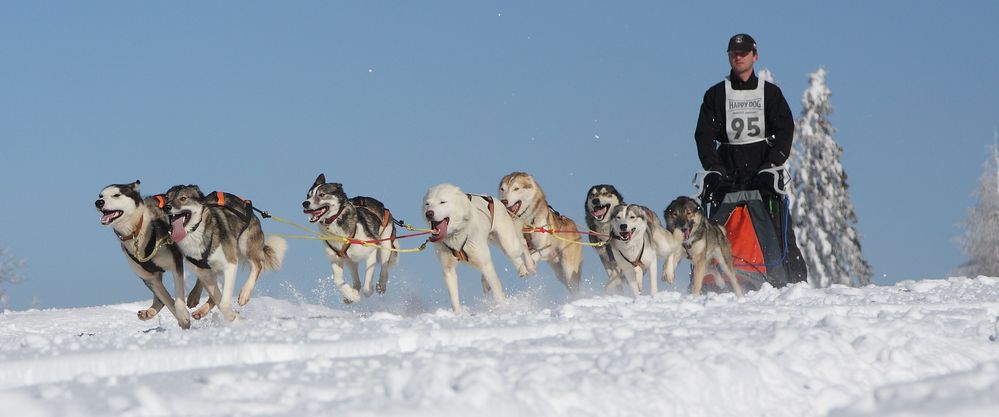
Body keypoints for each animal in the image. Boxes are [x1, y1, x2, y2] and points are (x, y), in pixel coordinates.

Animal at [95, 179, 193, 328]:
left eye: (116, 195)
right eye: (101, 196)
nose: (98, 202)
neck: (136, 231)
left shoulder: (176, 263)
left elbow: (178, 296)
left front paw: (183, 315)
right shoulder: (151, 278)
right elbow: (168, 301)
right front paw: (182, 319)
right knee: (160, 300)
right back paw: (149, 312)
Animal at [164, 184, 288, 320]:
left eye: (183, 198)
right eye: (167, 198)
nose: (166, 207)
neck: (195, 233)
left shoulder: (230, 263)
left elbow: (222, 302)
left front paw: (233, 317)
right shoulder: (203, 270)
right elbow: (217, 298)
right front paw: (231, 315)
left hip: (245, 244)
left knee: (257, 266)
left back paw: (244, 293)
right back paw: (197, 302)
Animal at [302, 174, 400, 304]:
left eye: (321, 194)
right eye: (308, 195)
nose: (305, 203)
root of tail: (382, 206)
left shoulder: (371, 251)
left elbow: (367, 286)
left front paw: (366, 291)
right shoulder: (336, 259)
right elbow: (338, 281)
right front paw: (351, 295)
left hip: (385, 244)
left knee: (384, 269)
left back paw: (381, 285)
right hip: (350, 260)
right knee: (357, 281)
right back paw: (353, 293)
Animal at [424, 182, 540, 312]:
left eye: (442, 202)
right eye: (427, 204)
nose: (429, 213)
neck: (456, 234)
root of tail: (495, 200)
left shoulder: (484, 261)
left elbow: (497, 291)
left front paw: (503, 307)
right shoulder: (448, 270)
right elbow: (454, 299)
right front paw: (457, 314)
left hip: (509, 244)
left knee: (521, 246)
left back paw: (528, 267)